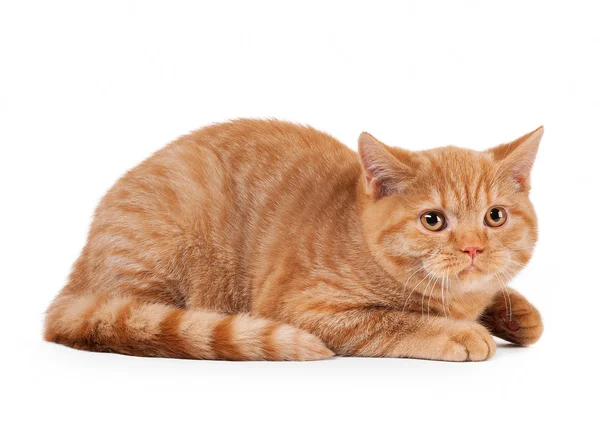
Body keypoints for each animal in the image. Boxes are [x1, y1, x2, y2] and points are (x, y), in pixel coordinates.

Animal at [45, 119, 544, 362]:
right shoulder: (305, 308)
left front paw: (516, 314)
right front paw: (460, 331)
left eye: (495, 216)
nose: (474, 247)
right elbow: (393, 321)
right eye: (433, 220)